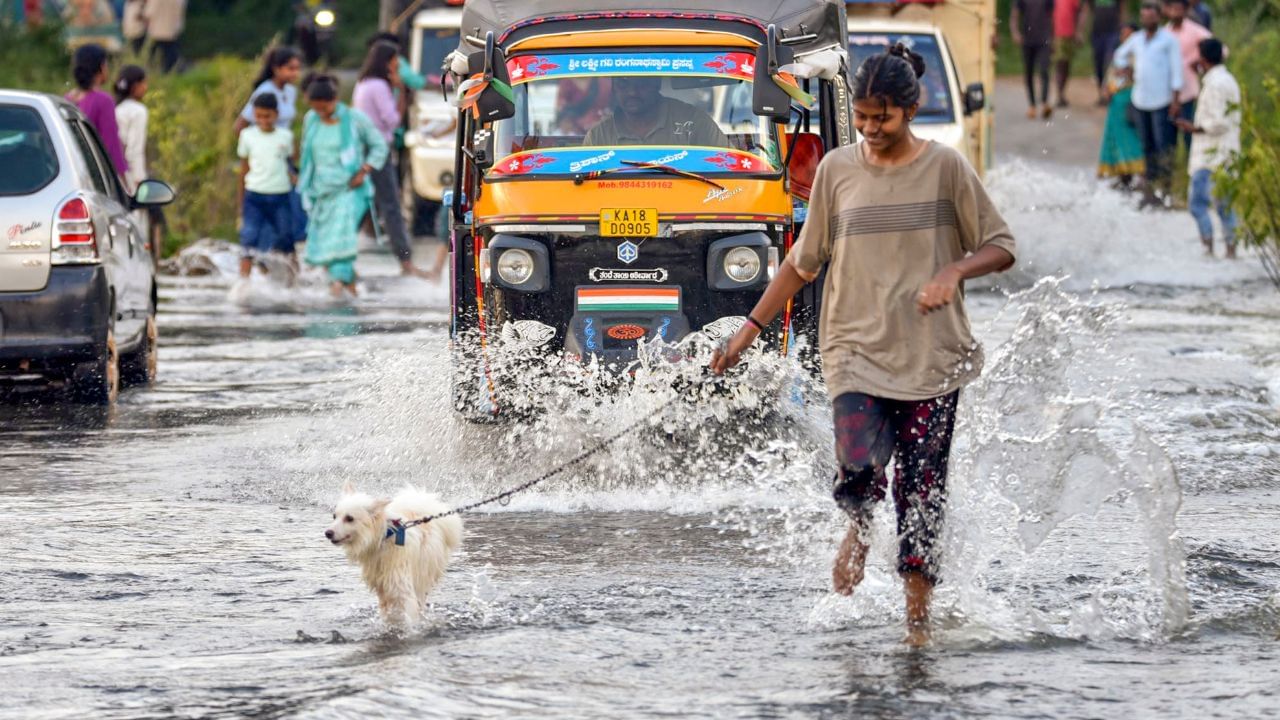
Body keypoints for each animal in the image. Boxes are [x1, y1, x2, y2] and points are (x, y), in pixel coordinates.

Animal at [325, 481, 465, 622]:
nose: (327, 533)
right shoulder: (382, 589)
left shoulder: (402, 588)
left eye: (349, 518)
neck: (383, 538)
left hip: (424, 573)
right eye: (334, 516)